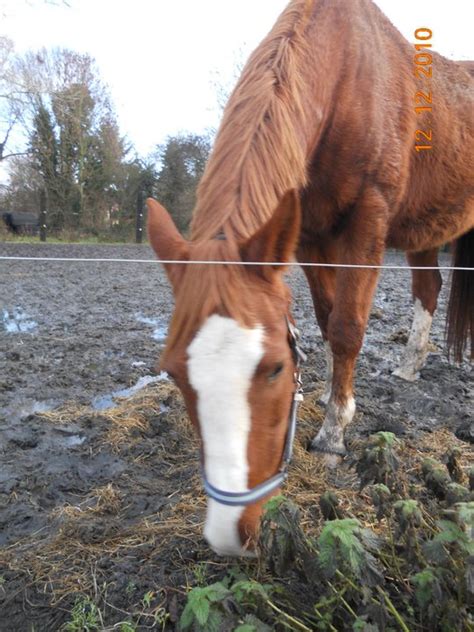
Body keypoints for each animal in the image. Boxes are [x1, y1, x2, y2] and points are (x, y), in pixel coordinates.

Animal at [146, 0, 472, 552]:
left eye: (275, 367)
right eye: (172, 372)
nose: (229, 535)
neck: (346, 78)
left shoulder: (367, 219)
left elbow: (347, 328)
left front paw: (334, 432)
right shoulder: (309, 237)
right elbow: (324, 319)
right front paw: (328, 397)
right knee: (429, 290)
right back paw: (409, 366)